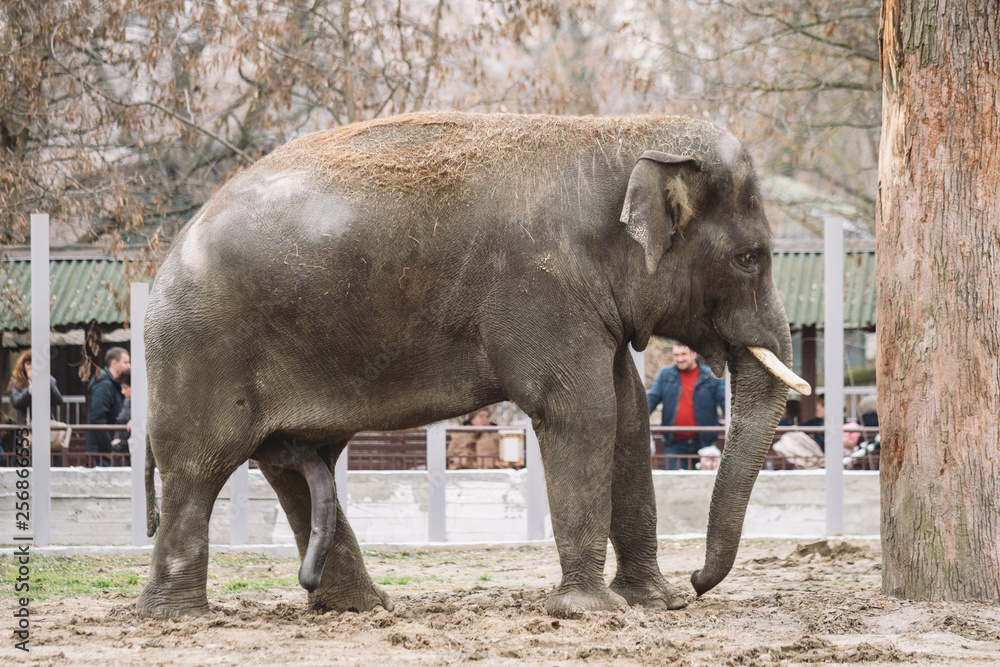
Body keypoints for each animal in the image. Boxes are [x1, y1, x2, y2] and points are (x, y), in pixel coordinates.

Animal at [136, 111, 809, 619]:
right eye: (751, 257)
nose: (698, 582)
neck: (621, 133)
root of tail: (170, 254)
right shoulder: (541, 284)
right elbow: (583, 411)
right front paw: (593, 612)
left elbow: (628, 416)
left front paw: (654, 604)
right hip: (201, 351)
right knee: (198, 468)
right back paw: (177, 617)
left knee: (296, 464)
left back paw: (360, 608)